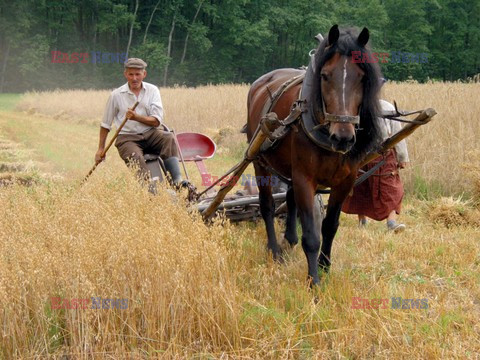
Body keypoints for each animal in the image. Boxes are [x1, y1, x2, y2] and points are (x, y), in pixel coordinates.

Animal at [246, 23, 380, 286]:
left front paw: (325, 266)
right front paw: (313, 281)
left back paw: (289, 238)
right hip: (259, 160)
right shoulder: (304, 178)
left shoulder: (345, 181)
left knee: (289, 198)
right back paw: (274, 249)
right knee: (266, 205)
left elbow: (330, 226)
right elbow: (311, 233)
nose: (343, 137)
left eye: (362, 77)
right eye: (325, 75)